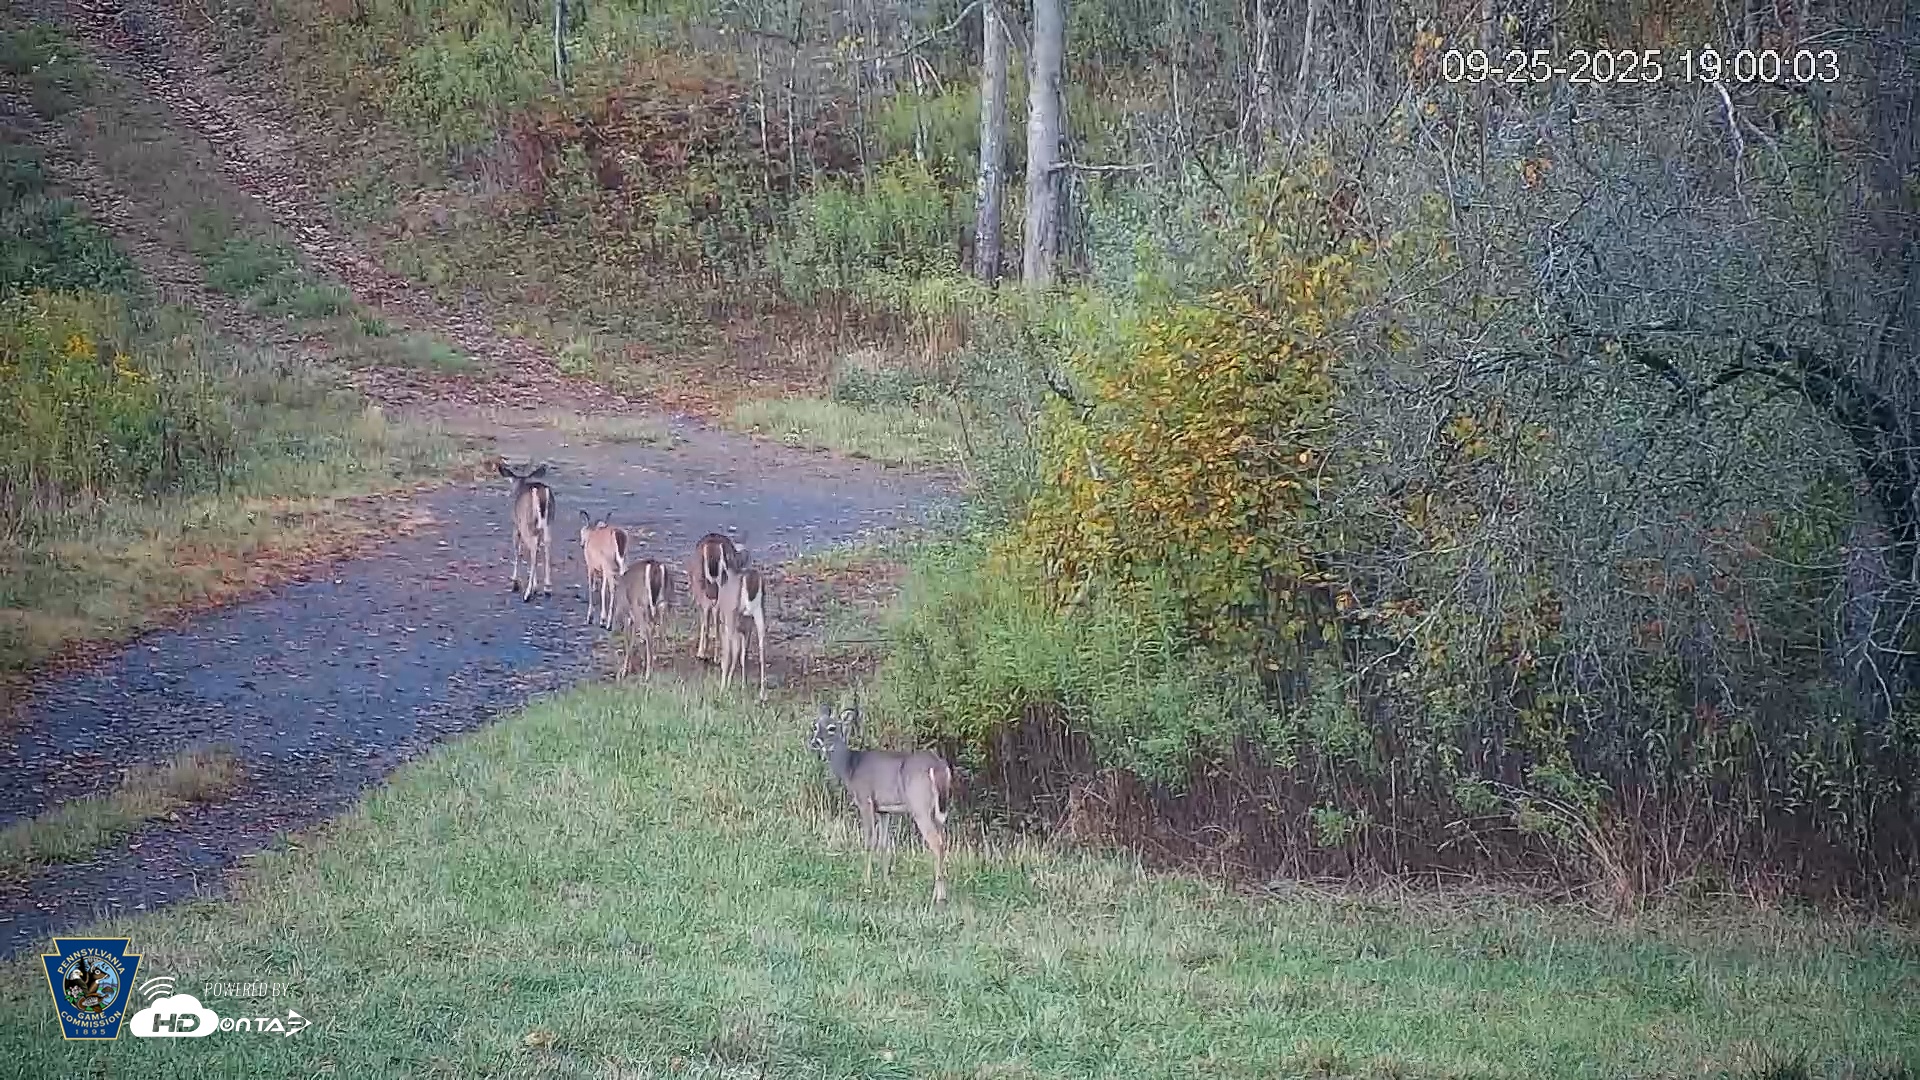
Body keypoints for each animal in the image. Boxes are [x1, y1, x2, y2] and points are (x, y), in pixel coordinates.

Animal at [496, 461, 554, 602]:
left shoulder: (516, 526)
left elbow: (518, 553)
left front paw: (515, 584)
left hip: (526, 524)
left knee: (532, 549)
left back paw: (527, 593)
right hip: (548, 523)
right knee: (546, 547)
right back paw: (547, 589)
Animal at [716, 559, 767, 701]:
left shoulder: (726, 624)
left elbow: (731, 652)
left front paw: (727, 687)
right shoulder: (746, 628)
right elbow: (743, 654)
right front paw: (743, 687)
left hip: (731, 617)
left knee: (731, 652)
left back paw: (723, 689)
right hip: (758, 612)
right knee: (760, 648)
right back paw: (761, 693)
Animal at [808, 703, 954, 903]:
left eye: (832, 728)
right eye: (815, 726)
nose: (814, 742)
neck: (850, 768)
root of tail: (938, 767)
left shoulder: (865, 800)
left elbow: (869, 841)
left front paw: (866, 882)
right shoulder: (884, 810)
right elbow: (884, 843)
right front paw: (886, 882)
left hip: (920, 806)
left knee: (936, 843)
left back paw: (939, 897)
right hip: (939, 810)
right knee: (943, 841)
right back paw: (939, 892)